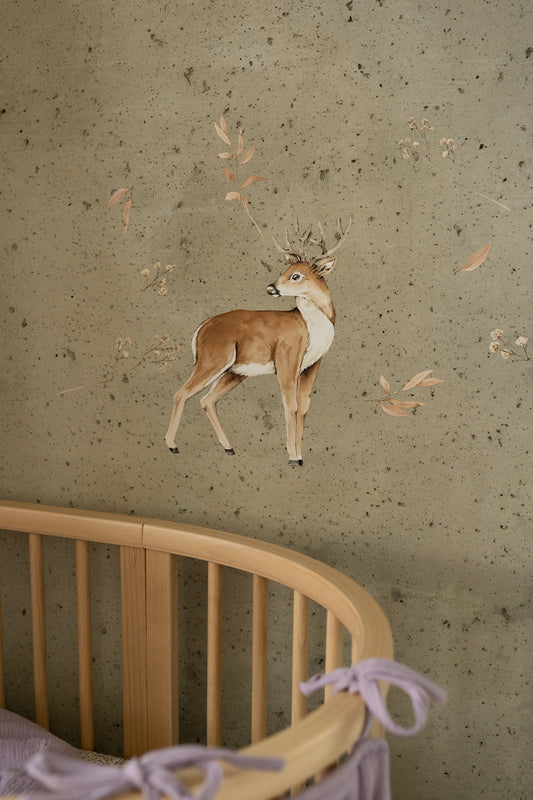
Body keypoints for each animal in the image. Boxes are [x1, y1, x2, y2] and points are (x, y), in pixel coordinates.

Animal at [164, 218, 351, 465]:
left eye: (296, 275)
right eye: (285, 270)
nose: (271, 288)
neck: (309, 325)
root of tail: (200, 328)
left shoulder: (312, 365)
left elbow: (303, 406)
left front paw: (300, 457)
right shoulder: (286, 357)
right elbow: (290, 405)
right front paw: (292, 457)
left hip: (235, 371)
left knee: (207, 400)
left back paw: (229, 448)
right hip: (213, 359)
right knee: (181, 393)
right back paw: (172, 445)